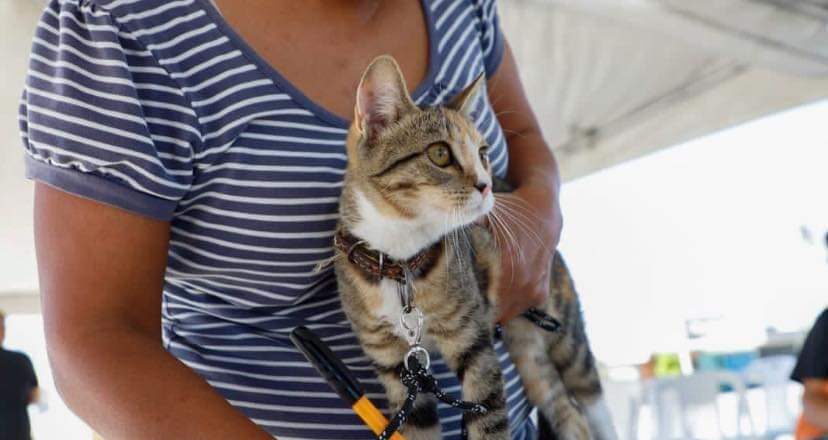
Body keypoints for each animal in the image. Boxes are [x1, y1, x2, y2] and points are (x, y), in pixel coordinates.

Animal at [332, 55, 616, 440]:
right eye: (439, 153)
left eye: (483, 154)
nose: (486, 185)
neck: (400, 260)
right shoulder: (393, 362)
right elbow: (417, 425)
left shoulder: (472, 340)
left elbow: (488, 419)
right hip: (526, 347)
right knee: (566, 410)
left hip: (563, 326)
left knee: (590, 398)